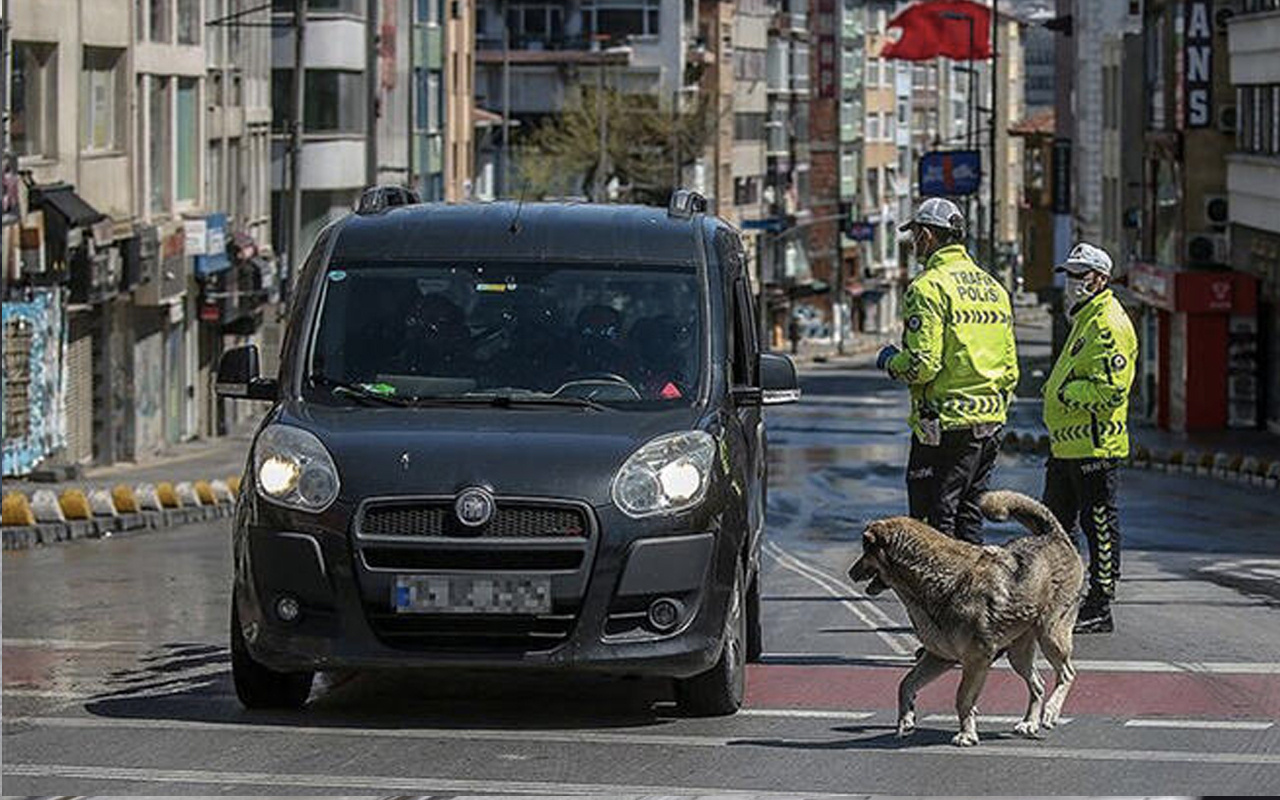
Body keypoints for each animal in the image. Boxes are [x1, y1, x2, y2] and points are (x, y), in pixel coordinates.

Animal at [849, 488, 1080, 747]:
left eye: (865, 551)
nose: (850, 573)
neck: (933, 577)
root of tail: (1054, 536)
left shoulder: (976, 660)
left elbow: (962, 699)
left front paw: (966, 734)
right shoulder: (940, 656)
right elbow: (906, 683)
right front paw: (906, 718)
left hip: (1050, 634)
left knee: (1067, 674)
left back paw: (1051, 711)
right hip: (1018, 653)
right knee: (1038, 684)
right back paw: (1030, 722)